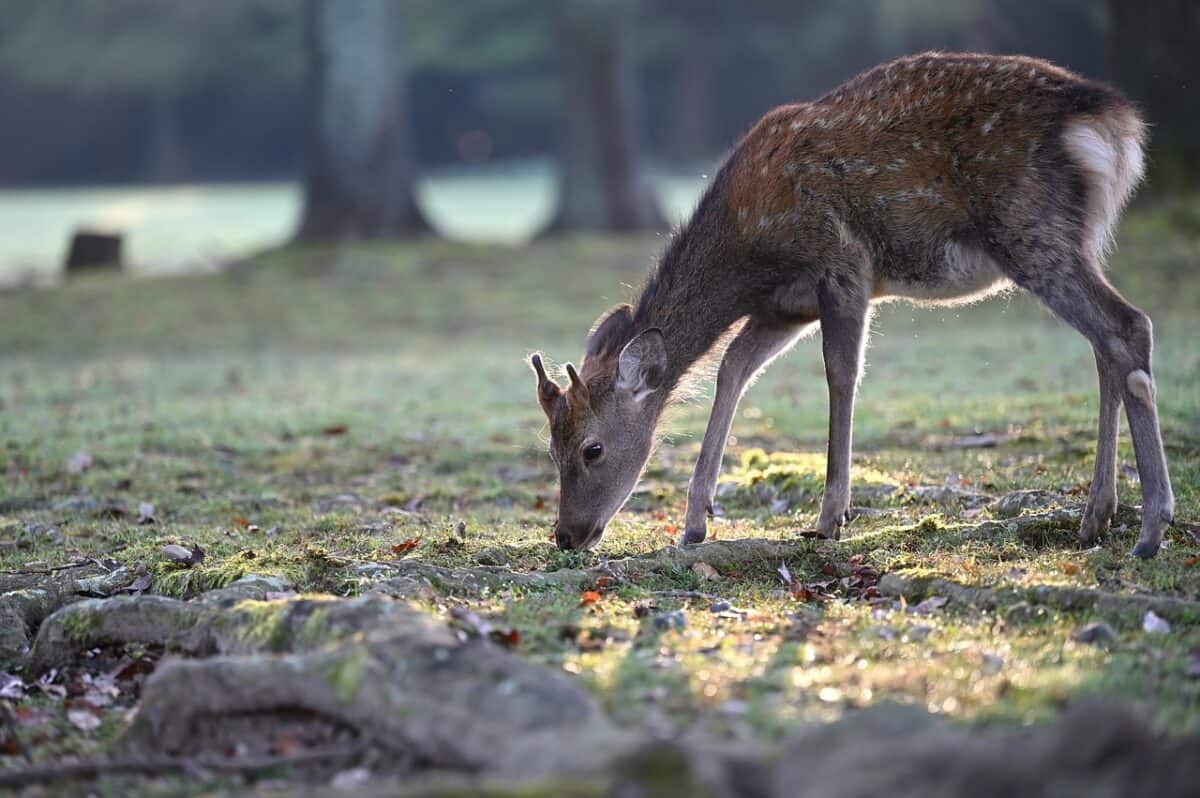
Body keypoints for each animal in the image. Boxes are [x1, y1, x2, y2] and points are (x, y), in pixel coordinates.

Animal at [531, 52, 1173, 559]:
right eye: (551, 447)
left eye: (592, 449)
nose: (566, 536)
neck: (747, 249)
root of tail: (1113, 122)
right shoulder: (783, 306)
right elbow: (732, 369)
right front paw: (695, 522)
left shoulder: (841, 265)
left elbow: (840, 374)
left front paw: (829, 517)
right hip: (1079, 239)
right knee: (1104, 345)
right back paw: (1097, 516)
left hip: (1030, 229)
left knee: (1127, 326)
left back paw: (1151, 526)